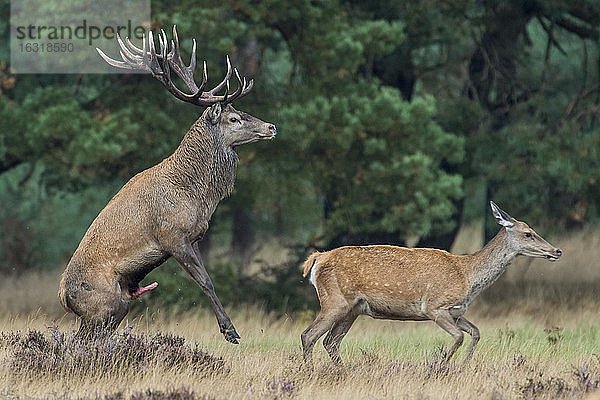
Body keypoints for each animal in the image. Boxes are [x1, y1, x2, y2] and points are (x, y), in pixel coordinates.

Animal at [59, 26, 276, 342]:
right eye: (234, 118)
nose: (271, 127)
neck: (197, 195)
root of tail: (63, 297)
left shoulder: (194, 236)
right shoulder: (172, 235)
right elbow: (206, 281)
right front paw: (230, 331)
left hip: (117, 306)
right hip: (104, 305)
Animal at [304, 202, 564, 368]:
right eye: (528, 233)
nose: (557, 251)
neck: (468, 278)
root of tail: (317, 259)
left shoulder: (457, 312)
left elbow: (476, 332)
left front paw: (464, 365)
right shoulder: (435, 307)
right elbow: (459, 337)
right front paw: (441, 365)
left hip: (353, 309)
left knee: (330, 342)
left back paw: (342, 371)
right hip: (334, 301)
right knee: (309, 336)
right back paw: (310, 372)